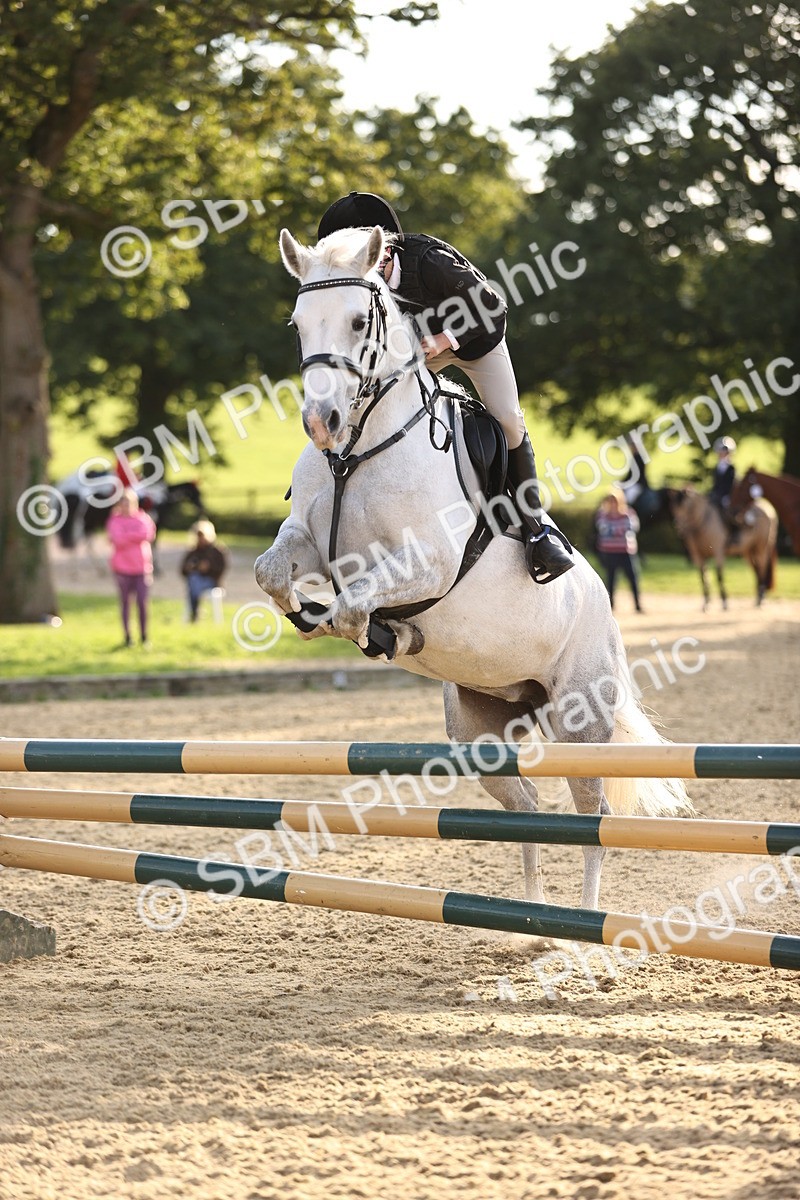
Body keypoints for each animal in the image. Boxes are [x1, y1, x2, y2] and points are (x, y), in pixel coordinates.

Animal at [254, 225, 692, 912]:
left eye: (359, 321)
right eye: (298, 324)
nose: (321, 425)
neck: (360, 451)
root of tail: (601, 600)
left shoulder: (429, 562)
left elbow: (356, 603)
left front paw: (373, 630)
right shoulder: (309, 543)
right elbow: (271, 573)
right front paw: (320, 617)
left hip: (580, 717)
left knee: (591, 816)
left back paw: (584, 921)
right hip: (482, 730)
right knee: (528, 807)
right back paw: (532, 911)